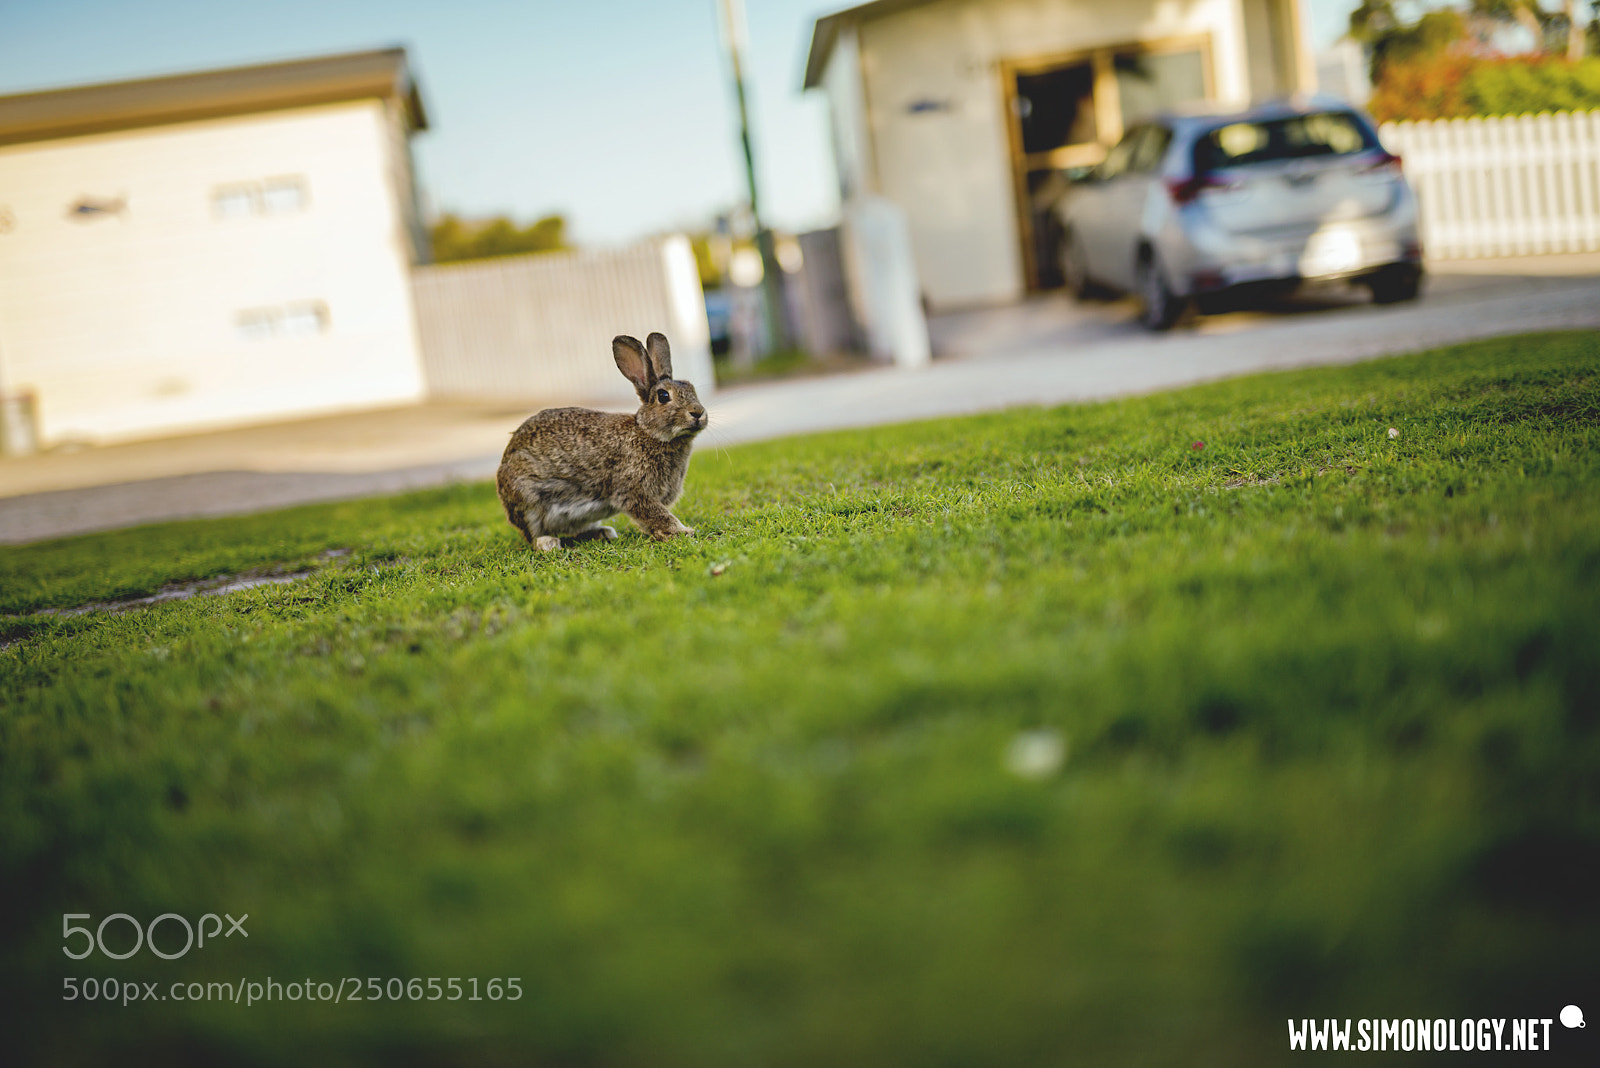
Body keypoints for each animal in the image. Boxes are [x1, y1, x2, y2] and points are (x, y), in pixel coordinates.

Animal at [496, 332, 708, 551]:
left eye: (692, 389)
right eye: (663, 396)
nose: (698, 412)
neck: (648, 432)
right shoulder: (633, 492)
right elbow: (658, 515)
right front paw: (683, 532)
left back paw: (602, 533)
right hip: (528, 500)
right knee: (532, 535)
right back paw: (548, 542)